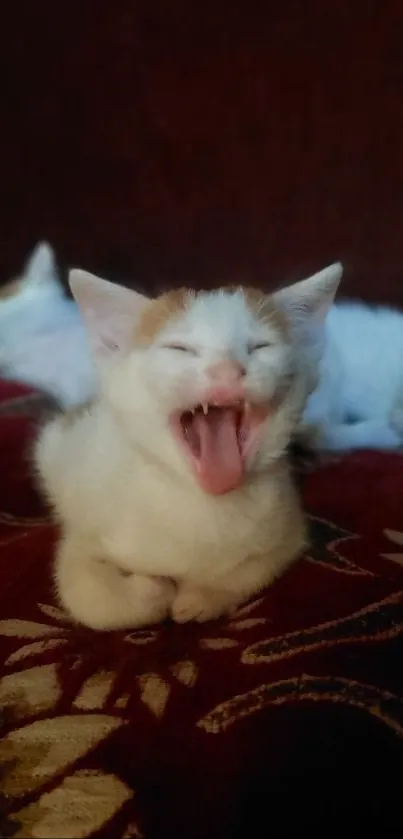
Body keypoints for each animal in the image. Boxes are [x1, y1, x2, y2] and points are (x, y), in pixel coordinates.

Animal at [34, 262, 342, 632]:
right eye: (180, 349)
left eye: (260, 346)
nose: (227, 371)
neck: (201, 505)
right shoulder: (85, 533)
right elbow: (88, 592)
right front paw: (150, 592)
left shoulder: (287, 527)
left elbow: (257, 566)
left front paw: (202, 595)